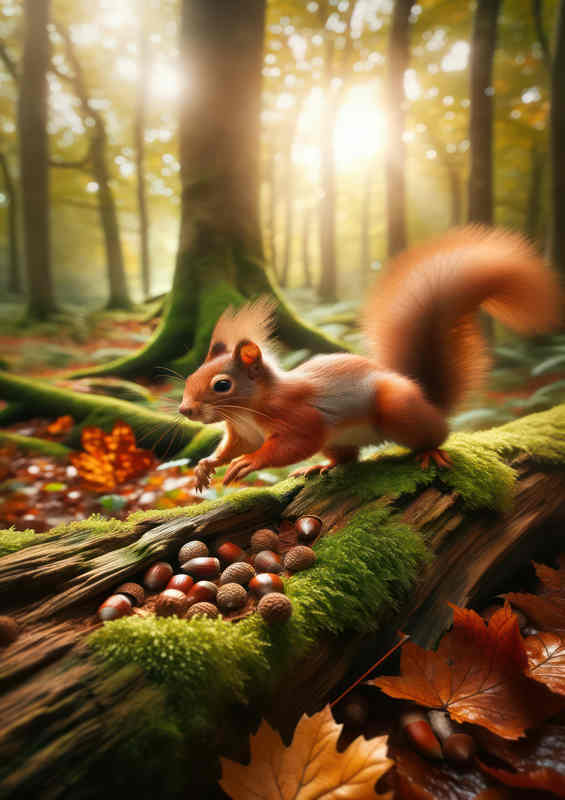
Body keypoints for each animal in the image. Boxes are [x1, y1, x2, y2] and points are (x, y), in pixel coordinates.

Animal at [179, 226, 561, 490]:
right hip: (340, 440)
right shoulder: (242, 432)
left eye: (222, 385)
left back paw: (429, 451)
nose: (185, 410)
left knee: (437, 433)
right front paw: (205, 465)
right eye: (191, 378)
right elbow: (231, 447)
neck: (248, 410)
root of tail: (425, 396)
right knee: (348, 458)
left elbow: (293, 444)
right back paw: (321, 467)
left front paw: (249, 463)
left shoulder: (299, 418)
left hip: (398, 409)